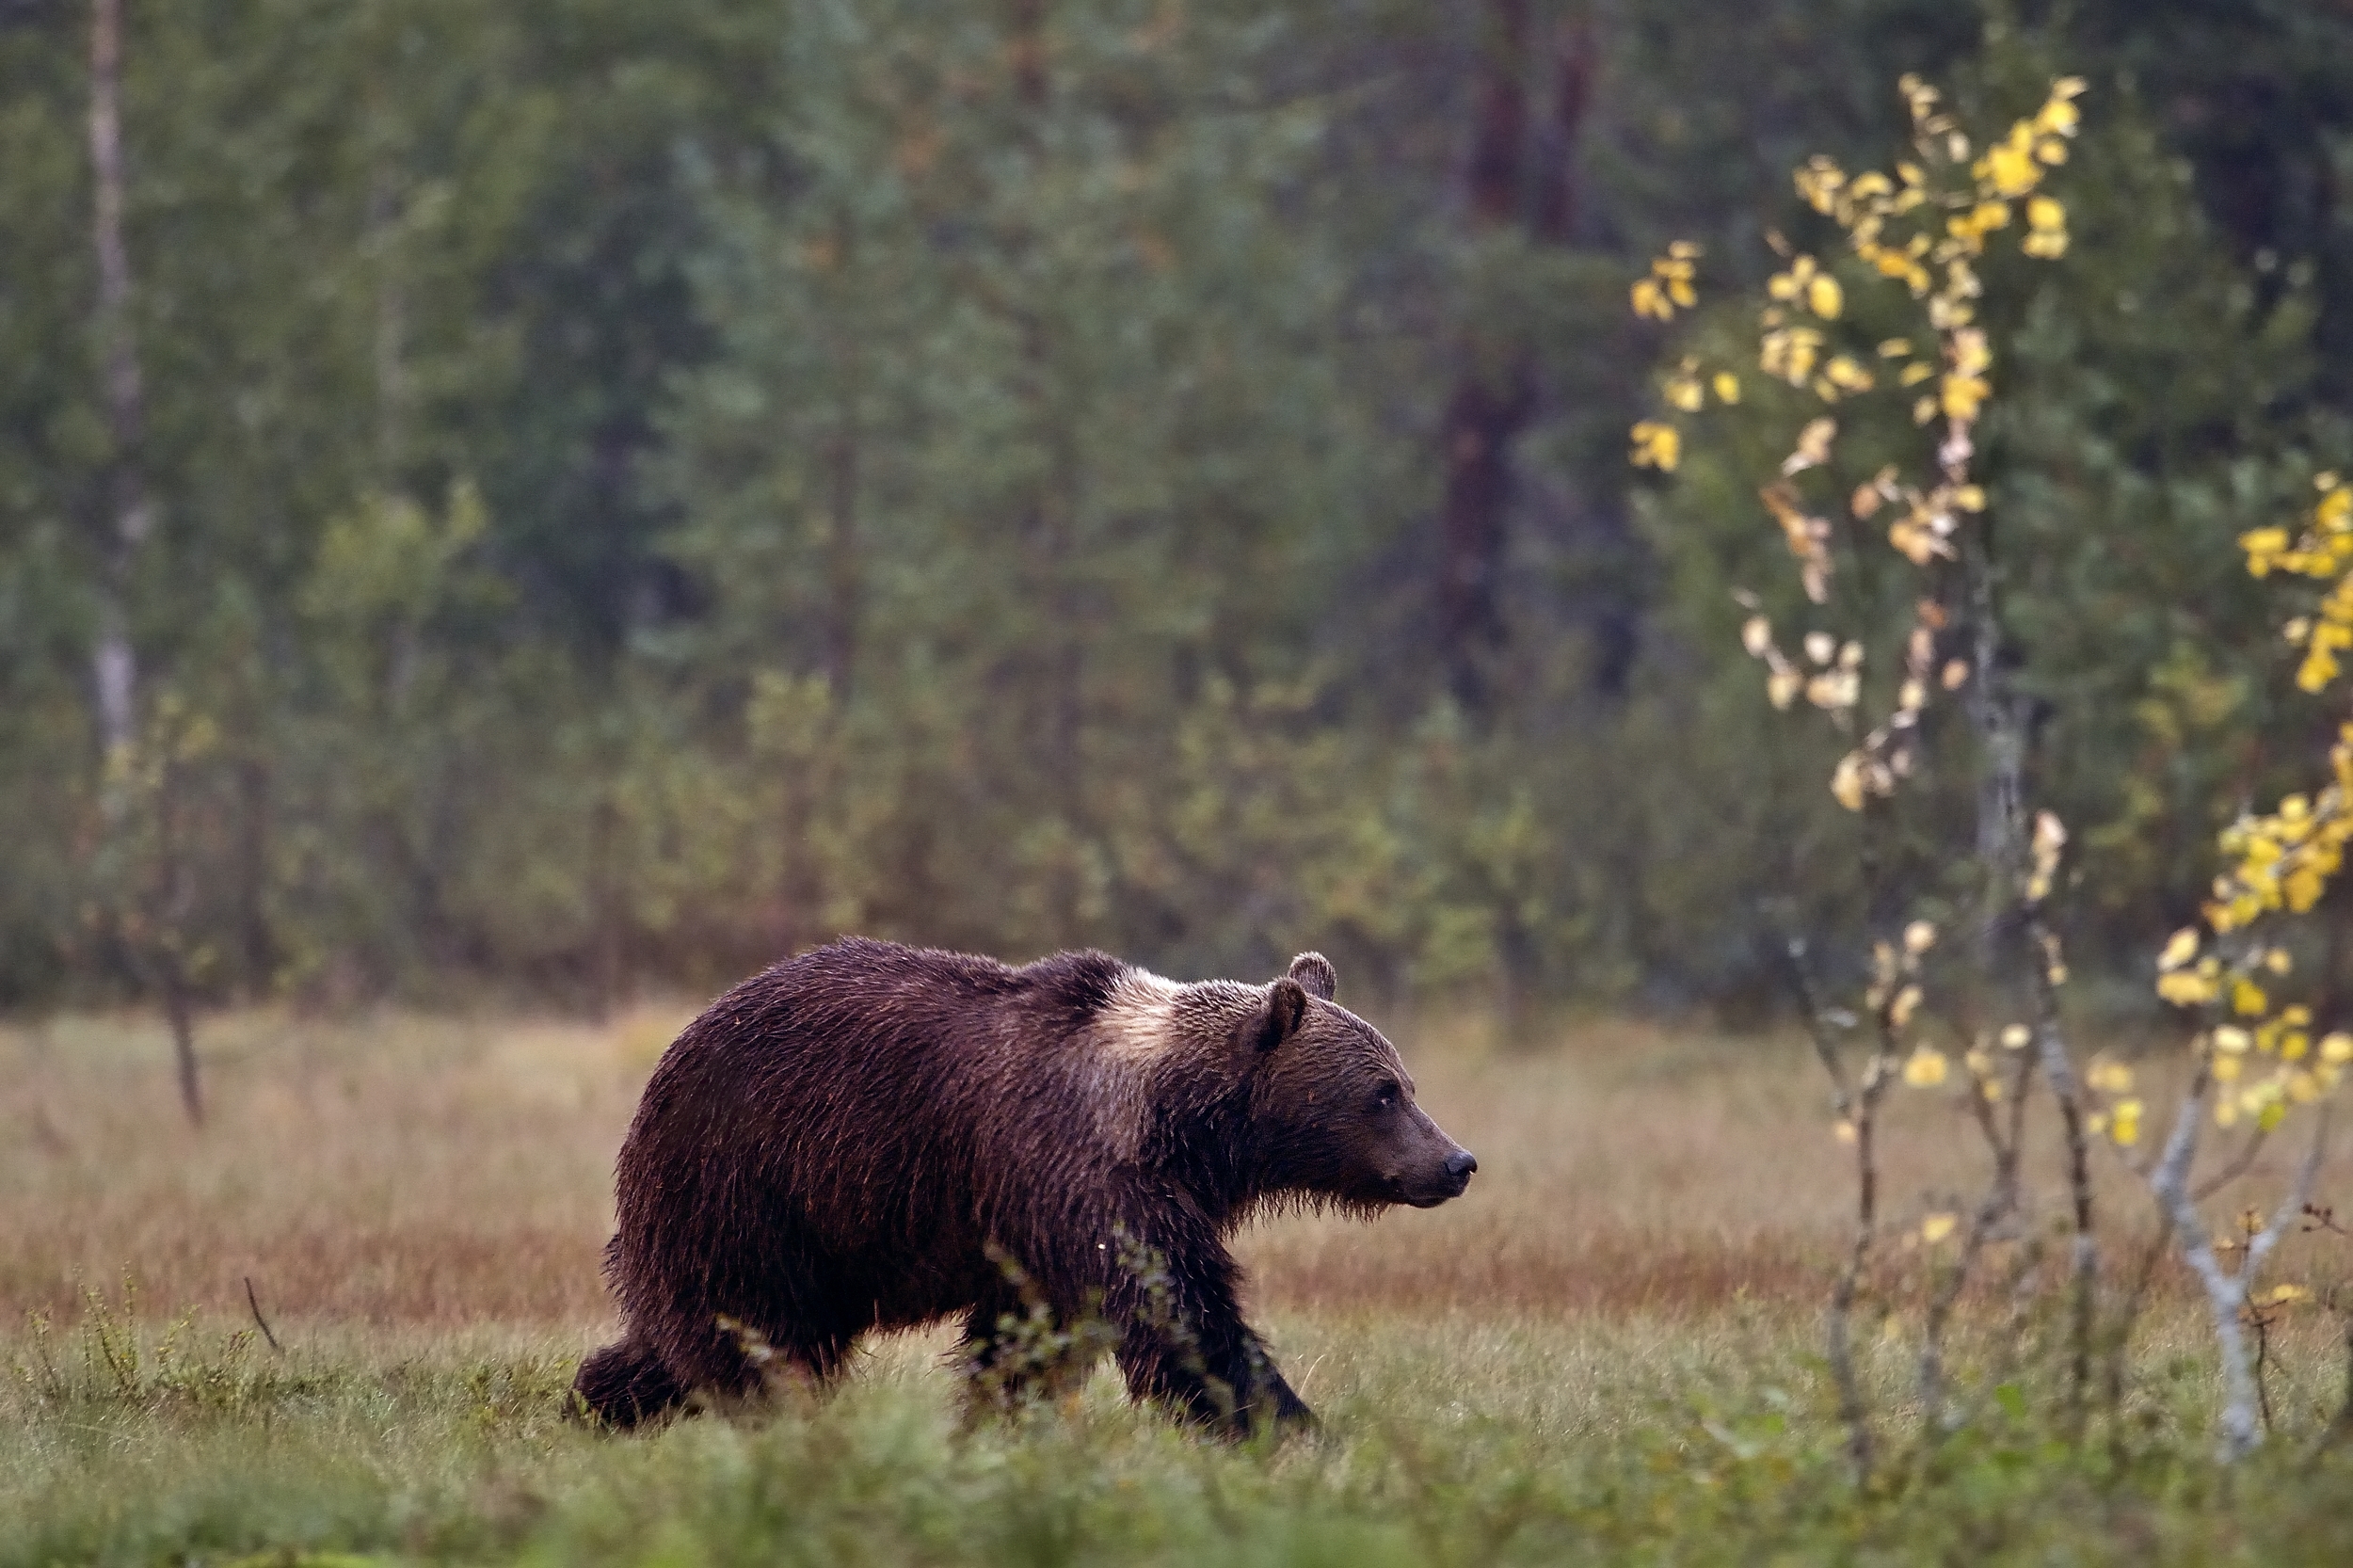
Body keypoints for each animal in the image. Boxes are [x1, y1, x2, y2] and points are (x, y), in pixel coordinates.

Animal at [573, 937, 1476, 1437]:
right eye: (1383, 1093)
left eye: (1407, 1082)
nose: (1456, 1161)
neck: (1172, 1119)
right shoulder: (1079, 1173)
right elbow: (1183, 1319)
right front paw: (1295, 1429)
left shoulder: (1050, 1221)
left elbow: (1029, 1343)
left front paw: (994, 1424)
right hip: (752, 1181)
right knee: (750, 1331)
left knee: (695, 1334)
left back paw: (598, 1399)